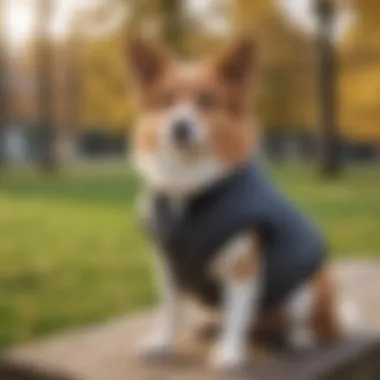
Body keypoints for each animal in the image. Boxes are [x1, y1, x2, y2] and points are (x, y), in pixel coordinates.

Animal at [127, 36, 356, 372]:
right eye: (166, 101)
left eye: (207, 101)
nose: (180, 126)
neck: (189, 186)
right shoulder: (169, 264)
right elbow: (170, 308)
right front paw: (162, 341)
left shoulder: (242, 264)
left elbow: (238, 312)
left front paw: (230, 352)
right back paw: (215, 328)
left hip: (310, 286)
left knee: (302, 325)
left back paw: (297, 339)